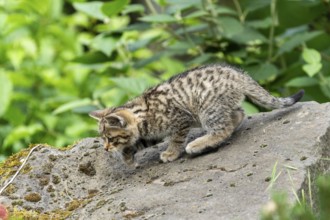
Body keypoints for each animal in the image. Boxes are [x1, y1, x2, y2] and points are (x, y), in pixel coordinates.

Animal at [89, 63, 304, 165]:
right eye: (103, 138)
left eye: (110, 138)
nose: (106, 149)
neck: (143, 113)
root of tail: (239, 74)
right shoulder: (151, 133)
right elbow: (140, 143)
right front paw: (127, 156)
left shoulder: (180, 120)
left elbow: (176, 139)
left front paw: (171, 153)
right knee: (238, 115)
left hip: (207, 108)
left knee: (223, 128)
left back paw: (197, 144)